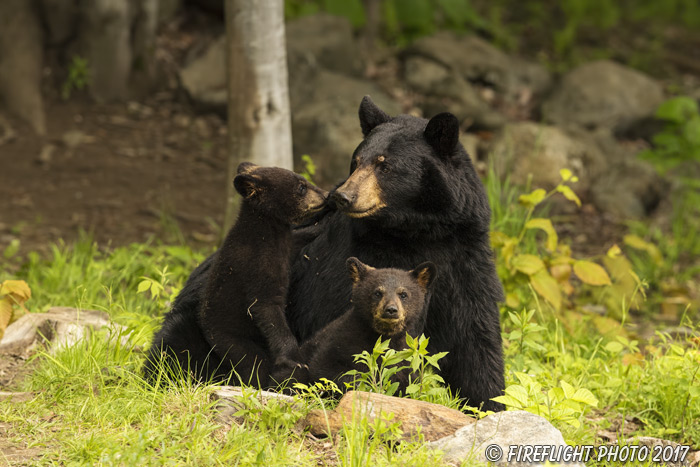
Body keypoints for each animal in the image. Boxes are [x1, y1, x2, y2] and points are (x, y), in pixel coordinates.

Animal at [144, 165, 328, 388]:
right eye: (301, 187)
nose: (326, 195)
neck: (264, 229)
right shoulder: (256, 265)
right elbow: (265, 307)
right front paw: (293, 358)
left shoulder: (284, 244)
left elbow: (299, 238)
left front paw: (323, 224)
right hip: (230, 338)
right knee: (252, 362)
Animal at [302, 258, 434, 394]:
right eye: (377, 293)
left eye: (403, 294)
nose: (391, 310)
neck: (382, 335)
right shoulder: (340, 341)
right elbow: (324, 367)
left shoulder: (404, 359)